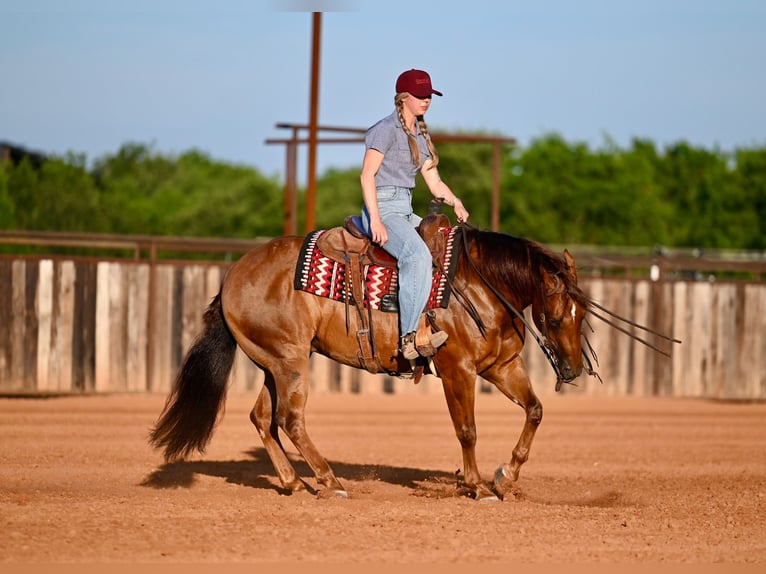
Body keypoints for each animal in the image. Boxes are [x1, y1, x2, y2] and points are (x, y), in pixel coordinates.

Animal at [149, 217, 593, 501]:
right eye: (555, 318)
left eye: (583, 314)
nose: (572, 371)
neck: (478, 283)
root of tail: (231, 278)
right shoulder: (458, 370)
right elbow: (467, 430)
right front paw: (475, 485)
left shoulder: (501, 367)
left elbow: (534, 410)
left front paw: (506, 477)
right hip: (290, 362)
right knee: (290, 420)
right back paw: (329, 481)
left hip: (273, 364)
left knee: (263, 418)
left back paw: (293, 482)